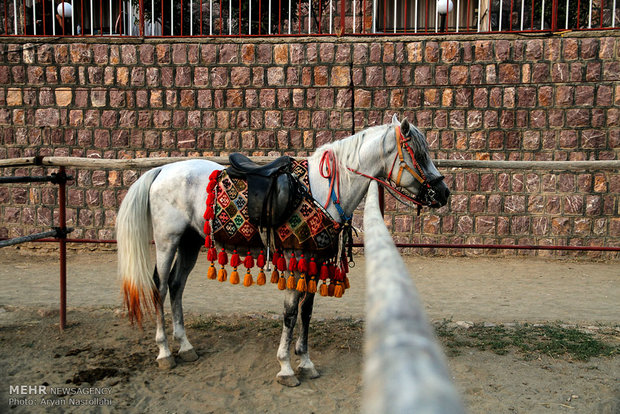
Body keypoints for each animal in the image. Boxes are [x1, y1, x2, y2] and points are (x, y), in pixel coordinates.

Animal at [116, 115, 448, 386]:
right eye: (418, 154)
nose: (444, 193)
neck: (321, 191)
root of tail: (162, 170)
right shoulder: (294, 257)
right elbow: (290, 312)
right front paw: (286, 367)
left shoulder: (313, 259)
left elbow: (306, 311)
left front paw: (306, 362)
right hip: (167, 240)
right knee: (160, 286)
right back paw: (164, 352)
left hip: (190, 242)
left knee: (176, 285)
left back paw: (185, 347)